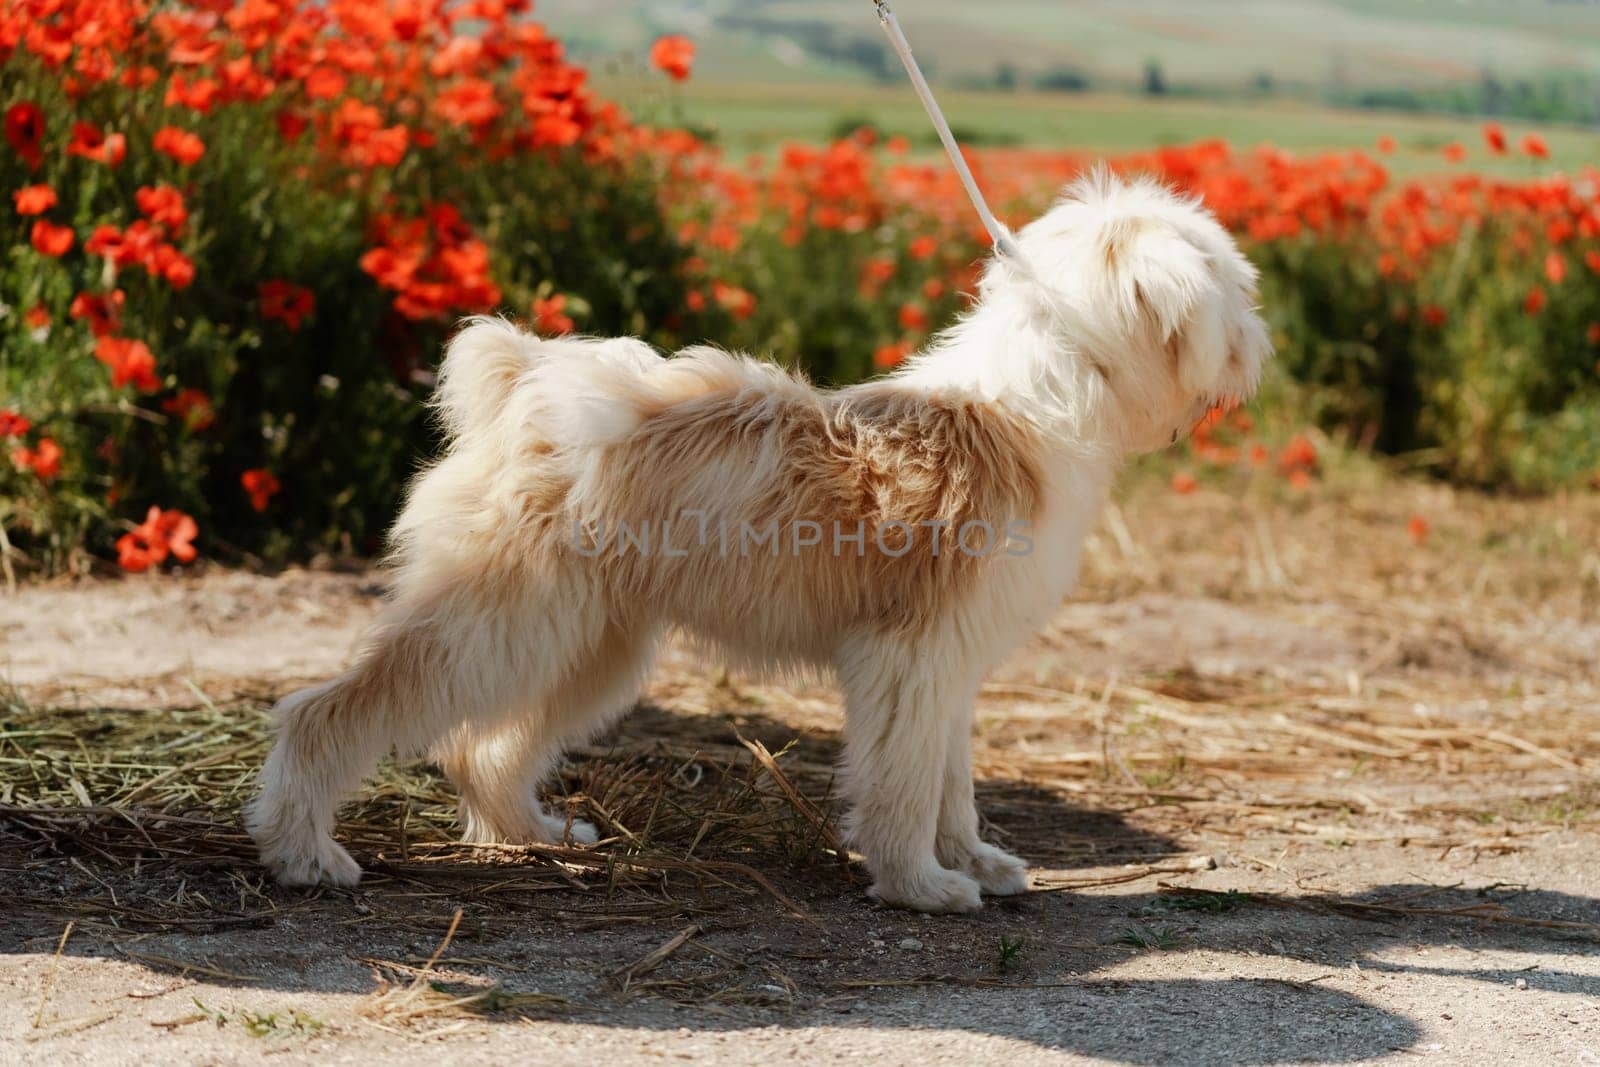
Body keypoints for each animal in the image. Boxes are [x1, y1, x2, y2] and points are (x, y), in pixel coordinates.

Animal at [246, 173, 1273, 908]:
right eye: (1234, 285)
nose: (1263, 347)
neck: (1031, 406)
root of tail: (526, 381)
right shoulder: (909, 661)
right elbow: (904, 783)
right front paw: (922, 885)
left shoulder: (951, 666)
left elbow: (951, 780)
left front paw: (975, 860)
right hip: (498, 619)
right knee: (327, 714)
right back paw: (304, 850)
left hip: (588, 642)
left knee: (481, 751)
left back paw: (532, 834)